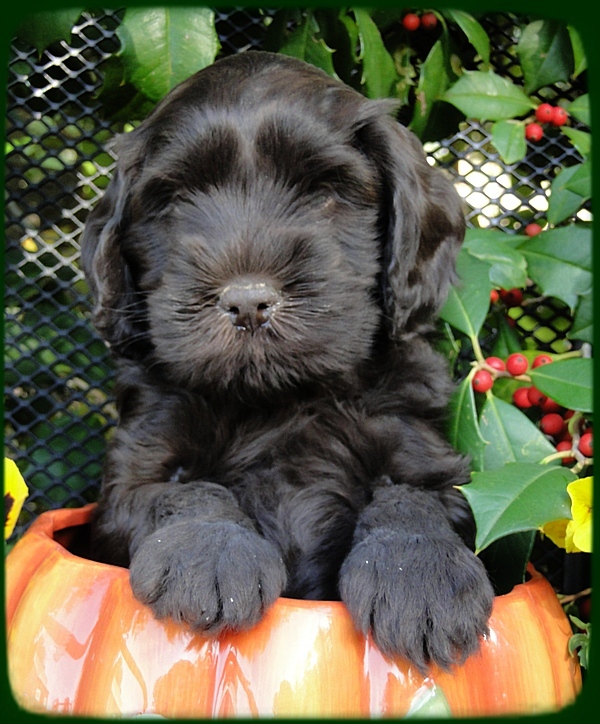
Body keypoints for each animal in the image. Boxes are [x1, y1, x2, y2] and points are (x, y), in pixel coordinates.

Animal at [81, 51, 494, 672]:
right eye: (174, 200)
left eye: (325, 191)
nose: (248, 301)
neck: (277, 401)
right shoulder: (128, 477)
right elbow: (182, 492)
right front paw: (211, 554)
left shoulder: (421, 448)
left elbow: (414, 498)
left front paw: (422, 578)